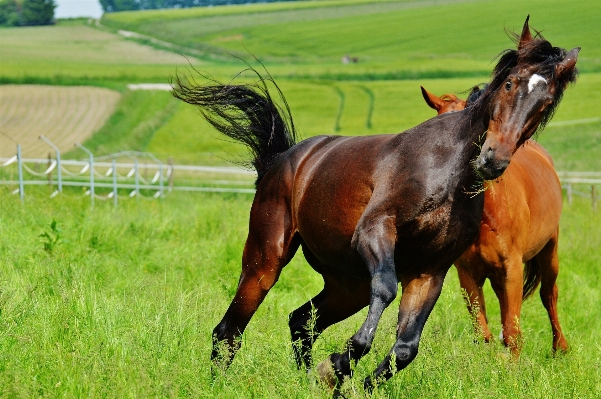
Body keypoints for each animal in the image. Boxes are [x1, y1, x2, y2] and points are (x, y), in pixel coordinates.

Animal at [422, 87, 568, 356]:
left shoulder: (513, 268)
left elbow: (513, 332)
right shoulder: (468, 273)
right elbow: (483, 333)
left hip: (549, 251)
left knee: (549, 294)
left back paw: (560, 347)